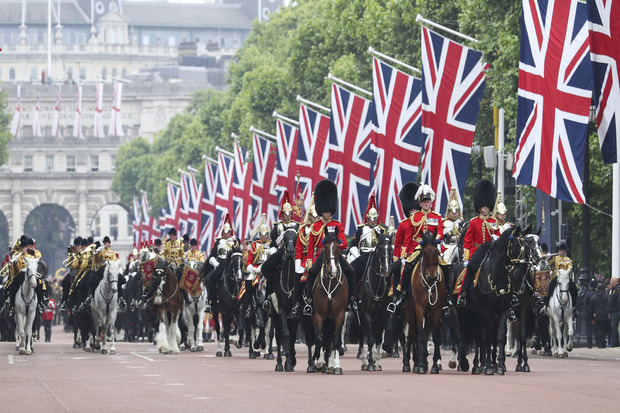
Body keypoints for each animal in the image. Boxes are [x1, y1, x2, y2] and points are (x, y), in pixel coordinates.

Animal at [310, 229, 348, 374]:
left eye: (338, 247)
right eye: (325, 247)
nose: (333, 271)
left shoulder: (340, 315)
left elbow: (336, 341)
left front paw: (336, 365)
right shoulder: (318, 315)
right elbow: (319, 338)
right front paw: (318, 361)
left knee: (331, 340)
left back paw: (330, 364)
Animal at [404, 232, 444, 374]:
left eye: (436, 251)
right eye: (424, 252)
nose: (433, 276)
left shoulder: (436, 309)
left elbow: (435, 336)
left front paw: (434, 366)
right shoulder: (419, 307)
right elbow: (420, 335)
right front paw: (420, 365)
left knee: (425, 333)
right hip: (410, 310)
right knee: (413, 333)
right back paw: (414, 363)